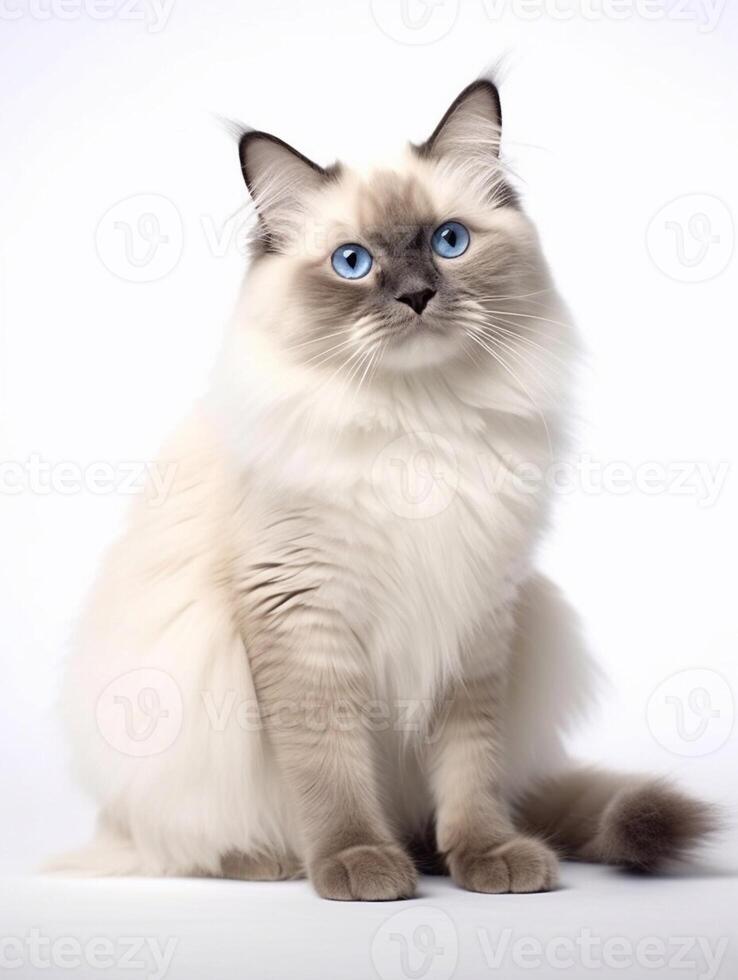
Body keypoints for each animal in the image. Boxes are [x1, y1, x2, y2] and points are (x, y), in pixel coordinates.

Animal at [47, 80, 712, 900]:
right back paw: (274, 862)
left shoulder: (473, 617)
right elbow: (328, 769)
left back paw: (428, 850)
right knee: (175, 841)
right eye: (353, 262)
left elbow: (470, 772)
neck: (419, 426)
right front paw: (356, 865)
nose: (419, 296)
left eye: (449, 242)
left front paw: (485, 857)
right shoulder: (304, 617)